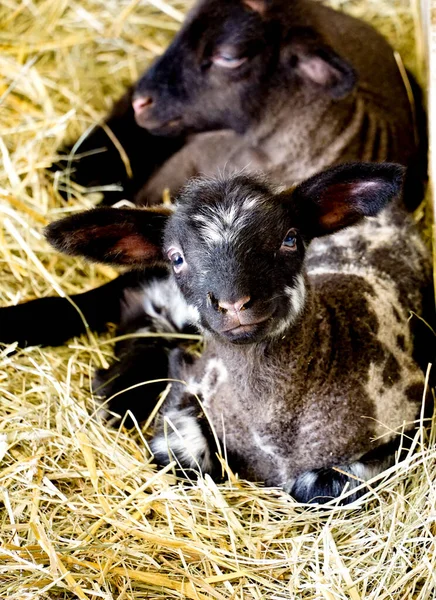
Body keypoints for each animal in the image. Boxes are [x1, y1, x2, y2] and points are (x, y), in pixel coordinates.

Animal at [44, 163, 432, 502]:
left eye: (290, 239)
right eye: (176, 257)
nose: (233, 304)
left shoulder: (412, 416)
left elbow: (319, 487)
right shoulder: (191, 385)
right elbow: (182, 454)